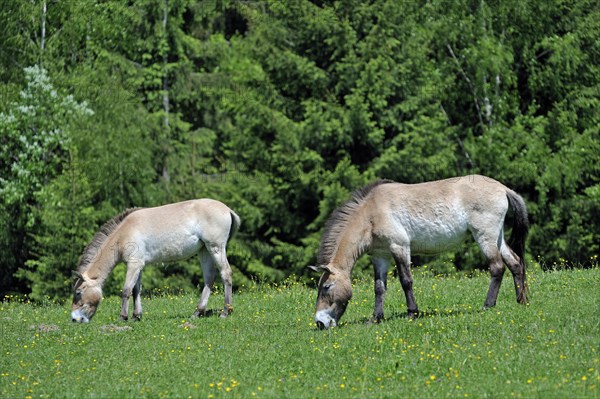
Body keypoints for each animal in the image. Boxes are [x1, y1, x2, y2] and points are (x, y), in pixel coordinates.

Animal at [74, 198, 241, 324]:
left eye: (78, 292)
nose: (75, 319)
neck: (123, 233)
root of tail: (227, 209)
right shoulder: (138, 266)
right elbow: (136, 290)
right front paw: (136, 316)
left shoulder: (134, 265)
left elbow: (126, 290)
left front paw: (123, 317)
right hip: (204, 251)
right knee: (209, 278)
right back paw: (197, 312)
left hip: (216, 248)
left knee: (226, 273)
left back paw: (225, 312)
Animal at [312, 177, 528, 330]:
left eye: (327, 287)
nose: (320, 323)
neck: (371, 213)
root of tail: (503, 189)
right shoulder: (380, 256)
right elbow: (379, 288)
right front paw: (376, 318)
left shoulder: (399, 247)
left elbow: (406, 281)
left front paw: (412, 313)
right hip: (497, 237)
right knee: (515, 263)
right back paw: (521, 301)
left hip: (484, 236)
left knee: (497, 267)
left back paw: (487, 305)